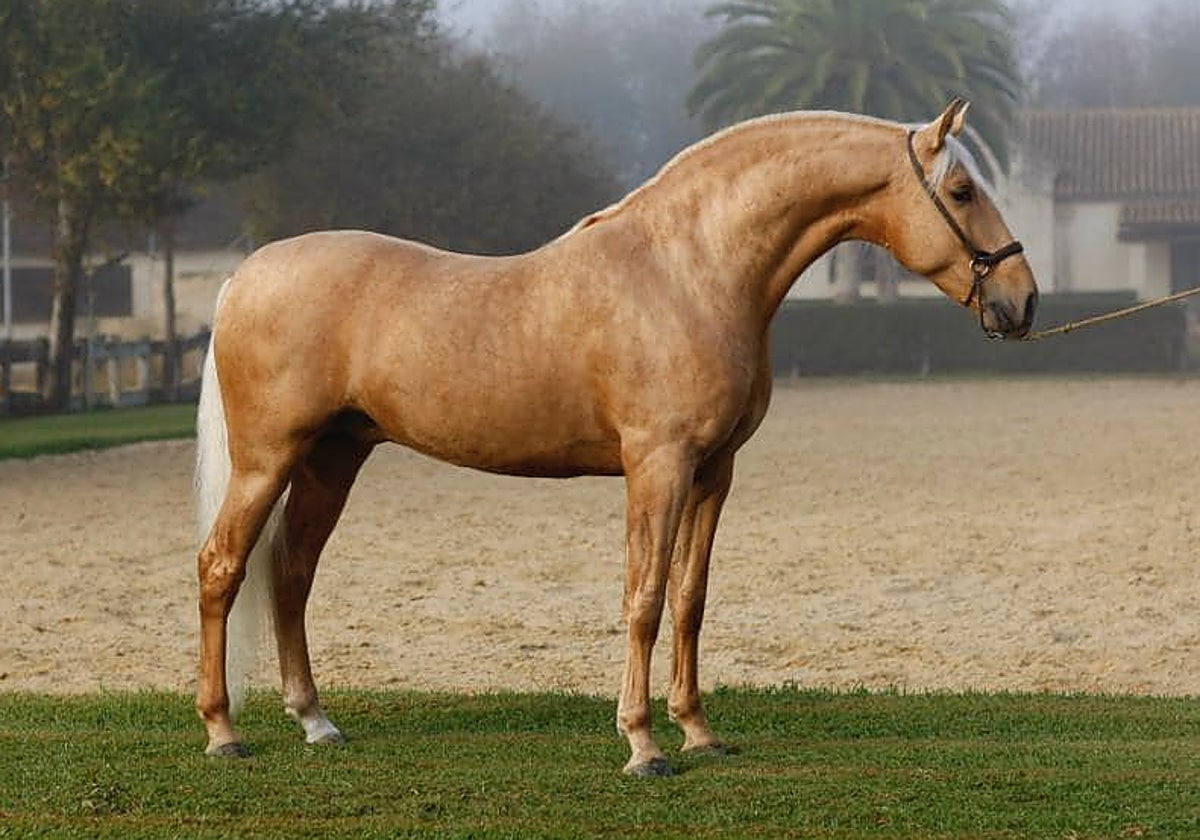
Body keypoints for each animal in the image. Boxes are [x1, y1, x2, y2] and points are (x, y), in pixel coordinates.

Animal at [194, 99, 1037, 776]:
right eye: (962, 191)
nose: (1022, 301)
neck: (689, 273)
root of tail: (241, 278)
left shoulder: (714, 472)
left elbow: (691, 598)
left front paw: (699, 733)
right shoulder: (656, 468)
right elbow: (645, 598)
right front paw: (643, 745)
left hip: (333, 458)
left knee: (292, 572)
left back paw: (316, 721)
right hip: (267, 461)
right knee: (222, 567)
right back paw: (223, 733)